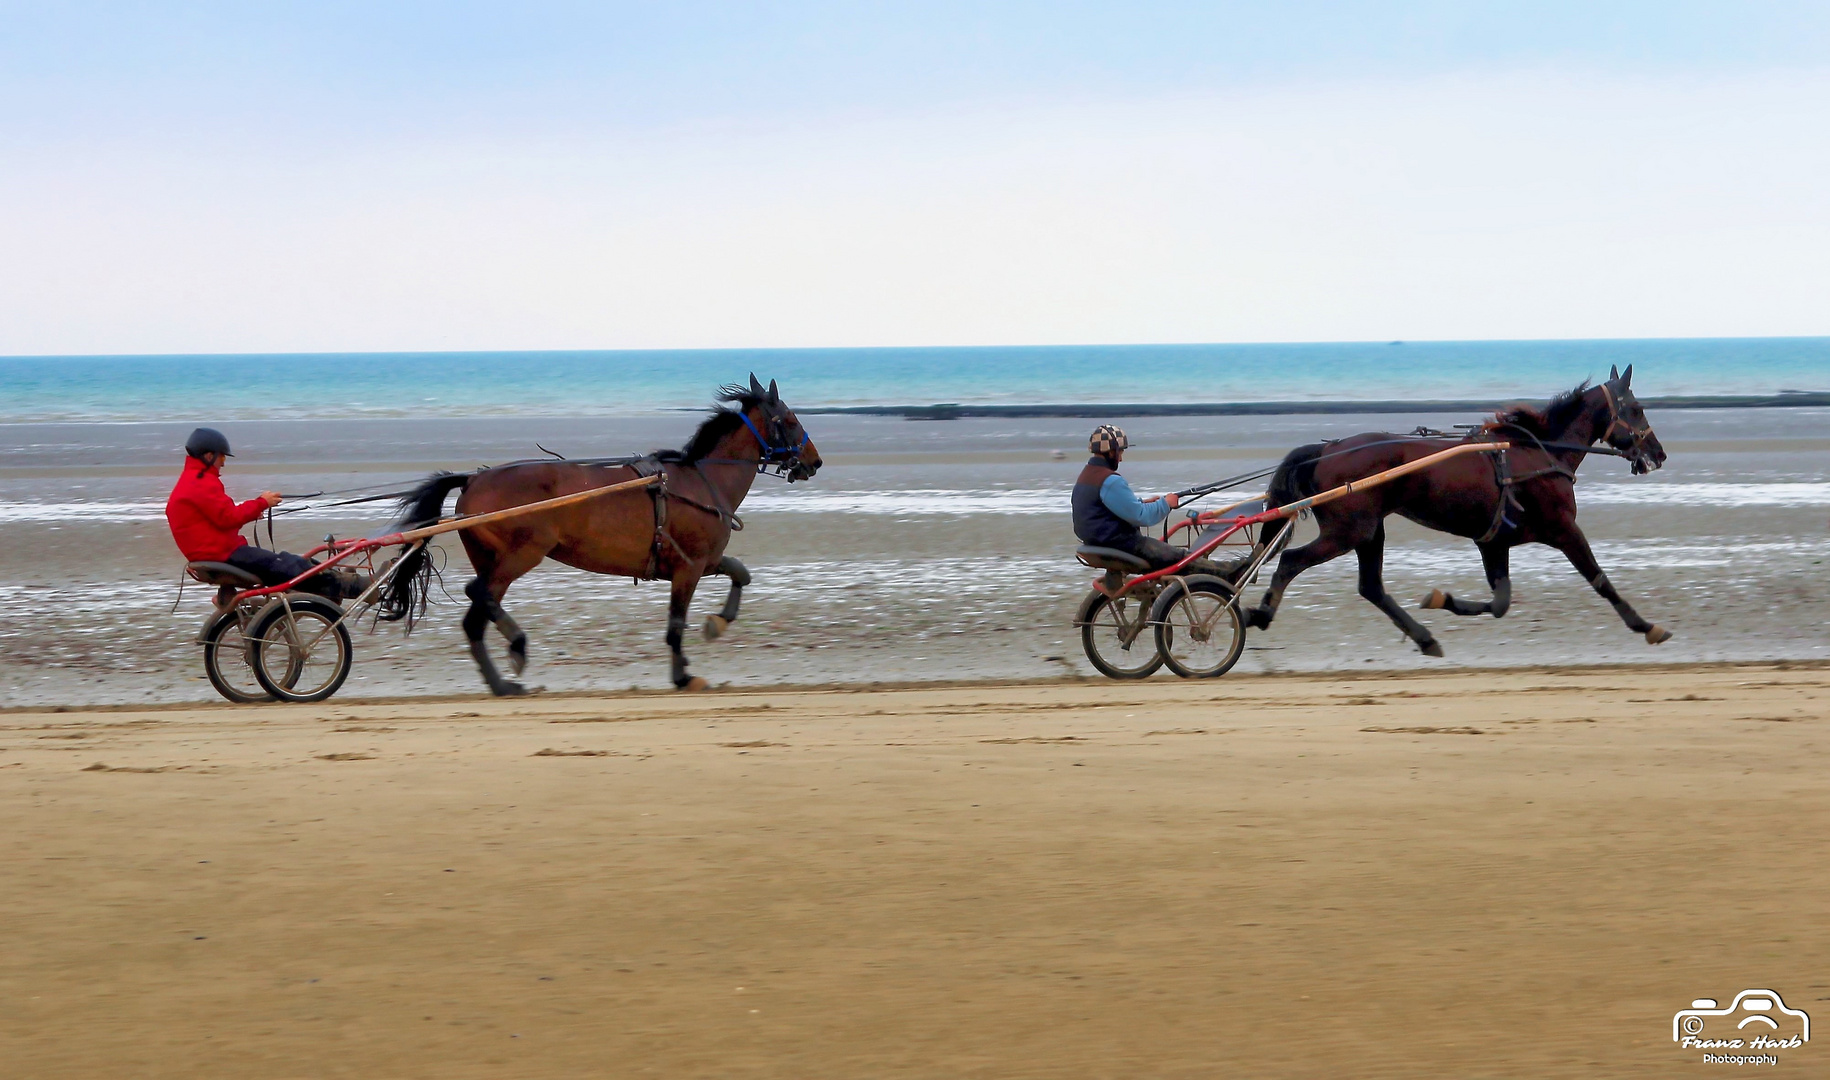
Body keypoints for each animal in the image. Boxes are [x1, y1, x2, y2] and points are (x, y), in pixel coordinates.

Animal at [391, 377, 823, 699]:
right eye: (790, 418)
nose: (814, 461)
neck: (699, 482)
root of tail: (474, 478)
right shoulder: (688, 568)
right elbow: (676, 625)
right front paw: (684, 676)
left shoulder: (703, 561)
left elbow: (740, 573)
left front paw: (719, 621)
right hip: (522, 553)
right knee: (478, 594)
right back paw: (517, 645)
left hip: (490, 556)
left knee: (475, 619)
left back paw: (500, 684)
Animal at [1244, 367, 1676, 658]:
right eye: (1637, 409)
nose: (1659, 454)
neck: (1537, 453)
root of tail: (1329, 448)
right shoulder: (1564, 528)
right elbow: (1600, 580)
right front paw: (1646, 625)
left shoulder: (1494, 541)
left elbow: (1500, 603)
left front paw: (1442, 599)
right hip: (1348, 530)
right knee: (1290, 560)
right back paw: (1259, 614)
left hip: (1369, 531)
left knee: (1371, 587)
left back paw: (1425, 638)